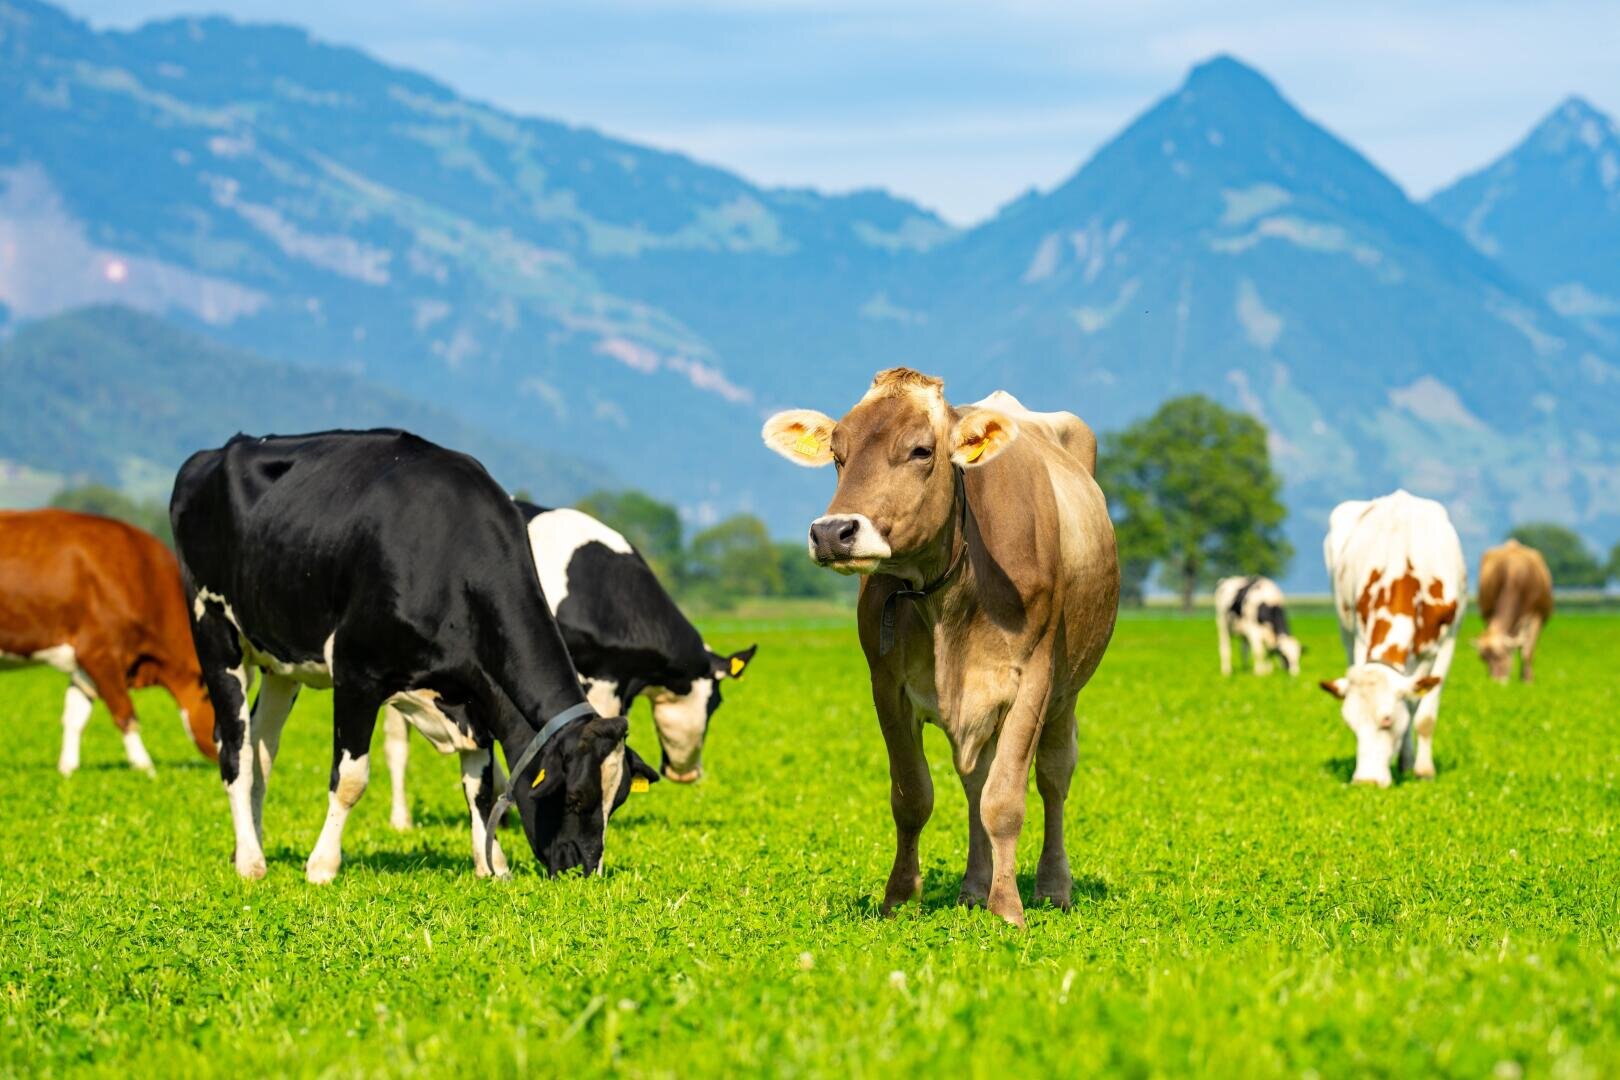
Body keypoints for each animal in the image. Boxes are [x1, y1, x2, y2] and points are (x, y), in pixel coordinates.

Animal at [0, 509, 215, 775]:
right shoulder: (99, 653)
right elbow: (125, 712)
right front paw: (146, 769)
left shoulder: (83, 664)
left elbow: (75, 716)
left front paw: (67, 770)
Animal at [169, 429, 656, 883]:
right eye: (576, 796)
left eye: (619, 800)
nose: (584, 870)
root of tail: (215, 453)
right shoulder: (356, 673)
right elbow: (350, 779)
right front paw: (322, 867)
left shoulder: (478, 695)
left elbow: (479, 786)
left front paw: (490, 864)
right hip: (215, 633)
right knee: (235, 749)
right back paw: (251, 863)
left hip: (279, 661)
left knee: (262, 748)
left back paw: (247, 846)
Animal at [763, 368, 1119, 927]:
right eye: (838, 453)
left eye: (921, 451)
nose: (833, 532)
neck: (948, 599)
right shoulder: (886, 685)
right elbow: (913, 795)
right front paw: (900, 897)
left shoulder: (1034, 681)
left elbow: (1006, 800)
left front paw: (1008, 909)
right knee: (974, 779)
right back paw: (973, 887)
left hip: (1067, 694)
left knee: (1053, 777)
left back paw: (1052, 888)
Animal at [1320, 490, 1466, 788]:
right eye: (1350, 724)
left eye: (1386, 720)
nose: (1366, 782)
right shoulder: (1361, 638)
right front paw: (1406, 763)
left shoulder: (1445, 643)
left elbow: (1423, 715)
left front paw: (1423, 771)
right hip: (1345, 628)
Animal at [1474, 539, 1553, 684]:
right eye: (1483, 658)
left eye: (1500, 655)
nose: (1495, 682)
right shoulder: (1489, 614)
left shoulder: (1536, 616)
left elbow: (1527, 651)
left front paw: (1527, 680)